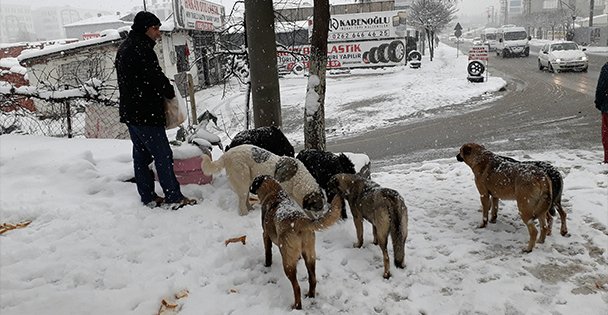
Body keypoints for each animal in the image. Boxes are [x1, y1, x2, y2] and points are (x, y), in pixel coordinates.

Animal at [247, 175, 342, 312]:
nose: (249, 188)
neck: (275, 192)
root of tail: (299, 220)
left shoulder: (265, 234)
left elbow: (267, 253)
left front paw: (267, 265)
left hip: (288, 262)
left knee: (296, 287)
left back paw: (297, 306)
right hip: (310, 255)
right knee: (313, 279)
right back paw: (310, 295)